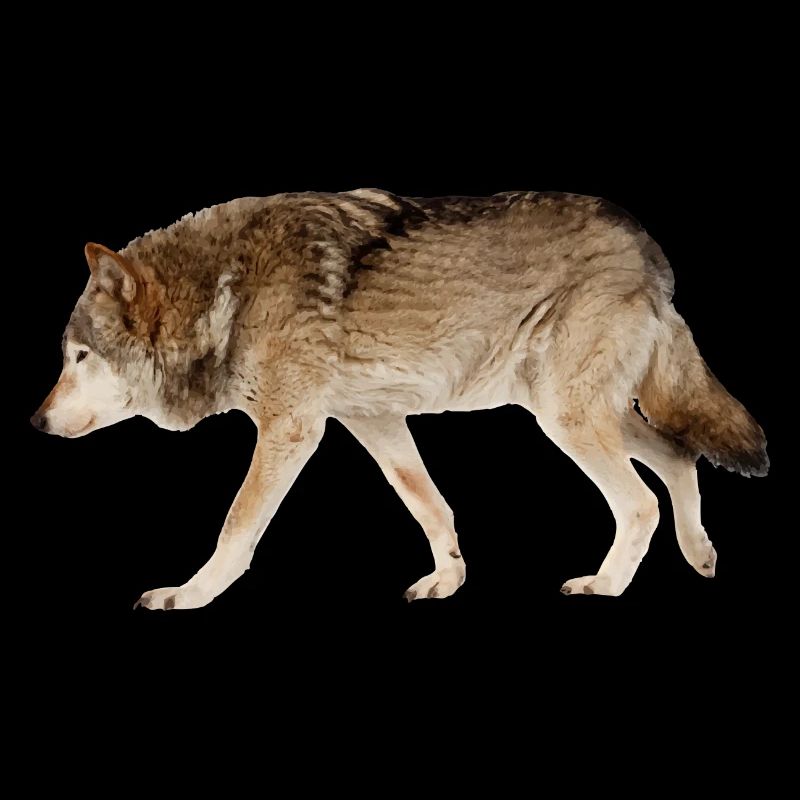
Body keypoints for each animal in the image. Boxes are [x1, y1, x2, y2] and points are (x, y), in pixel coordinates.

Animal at [31, 189, 768, 609]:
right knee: (677, 454)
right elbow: (431, 506)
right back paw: (701, 555)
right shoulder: (373, 420)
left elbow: (237, 526)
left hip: (567, 417)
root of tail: (650, 251)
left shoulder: (292, 428)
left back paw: (605, 586)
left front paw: (188, 595)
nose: (35, 421)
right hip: (571, 412)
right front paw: (448, 582)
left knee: (641, 500)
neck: (225, 289)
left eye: (79, 357)